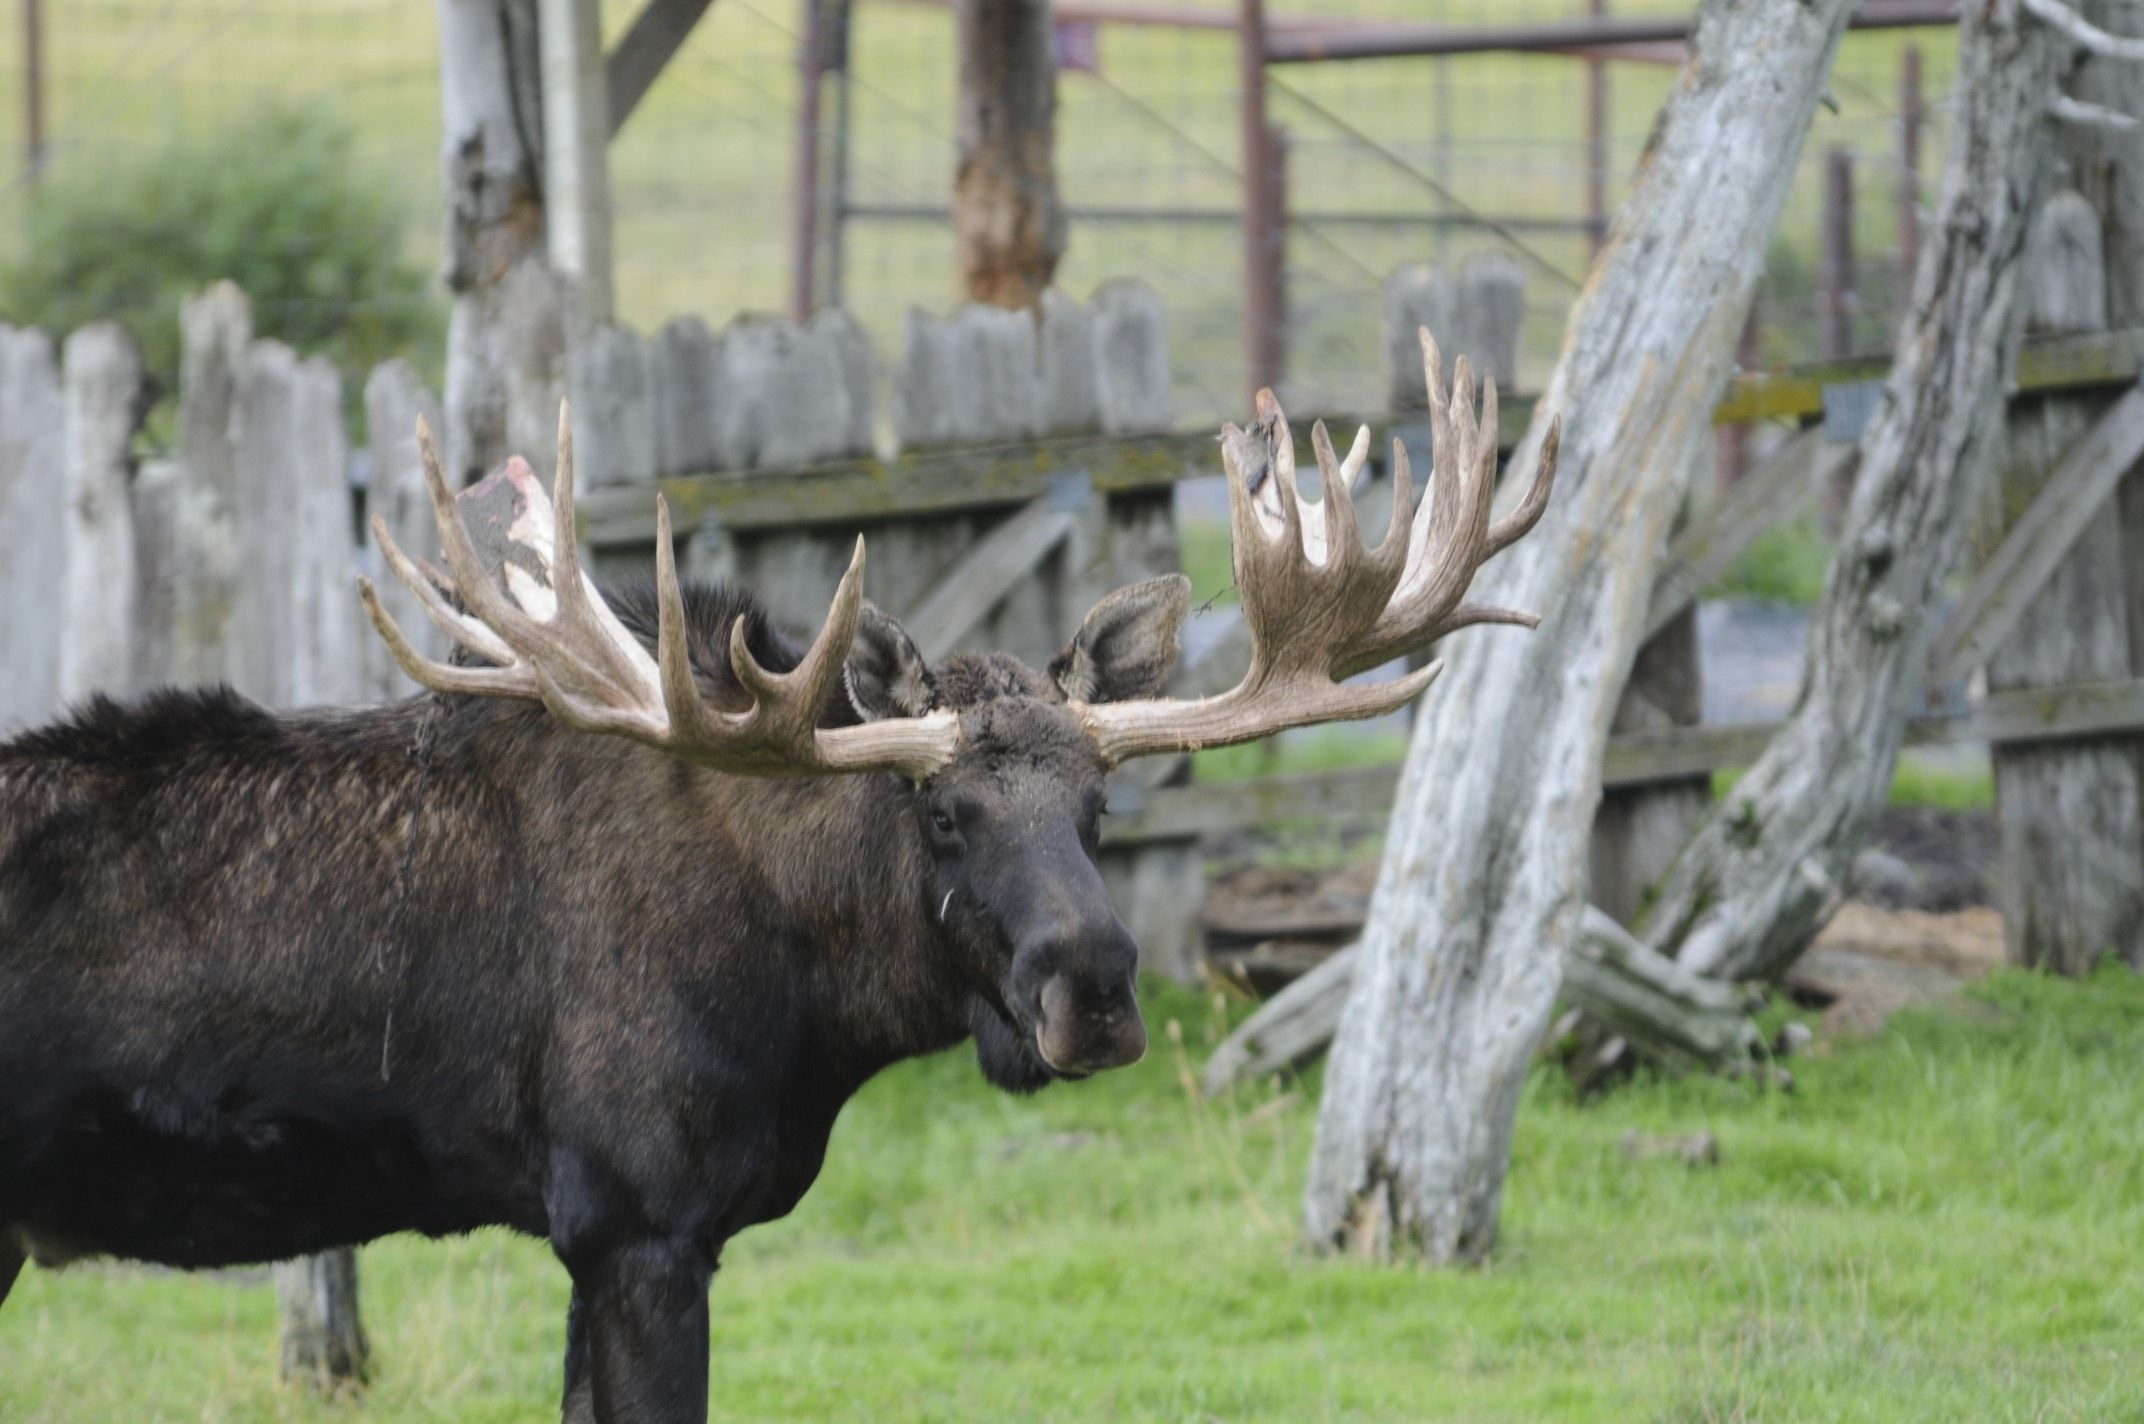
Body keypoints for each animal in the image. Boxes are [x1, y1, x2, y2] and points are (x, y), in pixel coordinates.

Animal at [0, 336, 1560, 1423]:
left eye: (1100, 804)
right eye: (940, 810)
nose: (1097, 992)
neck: (815, 1007)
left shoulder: (602, 1237)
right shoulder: (636, 1222)